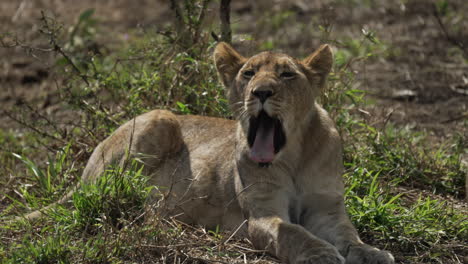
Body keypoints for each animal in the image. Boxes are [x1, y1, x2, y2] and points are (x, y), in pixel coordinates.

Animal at [24, 42, 394, 262]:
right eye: (248, 73)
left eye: (287, 74)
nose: (260, 92)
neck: (294, 155)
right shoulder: (261, 214)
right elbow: (292, 232)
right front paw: (321, 253)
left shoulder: (327, 209)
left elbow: (349, 234)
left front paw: (372, 252)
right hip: (160, 118)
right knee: (109, 197)